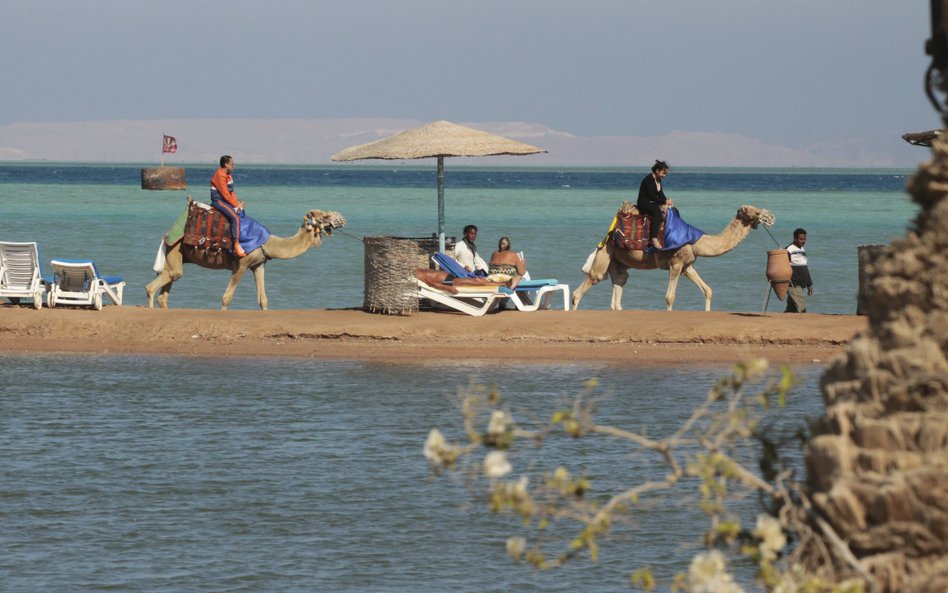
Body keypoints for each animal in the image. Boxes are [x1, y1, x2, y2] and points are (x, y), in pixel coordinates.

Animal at [144, 208, 344, 310]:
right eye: (325, 216)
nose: (342, 220)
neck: (267, 242)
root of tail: (168, 233)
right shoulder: (240, 265)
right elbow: (226, 298)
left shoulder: (259, 264)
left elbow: (263, 299)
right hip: (175, 250)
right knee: (153, 287)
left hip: (176, 256)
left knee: (166, 288)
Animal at [572, 202, 772, 310]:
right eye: (752, 211)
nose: (770, 216)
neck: (696, 242)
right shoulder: (675, 263)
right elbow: (670, 297)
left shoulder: (687, 266)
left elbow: (707, 290)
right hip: (605, 254)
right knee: (583, 287)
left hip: (617, 262)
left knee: (619, 285)